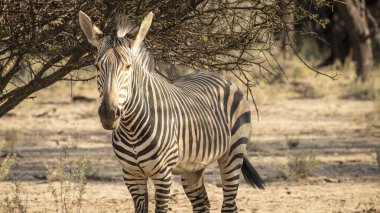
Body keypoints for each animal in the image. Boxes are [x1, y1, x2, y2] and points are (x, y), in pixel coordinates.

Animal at [79, 10, 264, 212]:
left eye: (128, 67)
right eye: (97, 66)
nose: (108, 114)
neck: (131, 129)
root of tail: (218, 76)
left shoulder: (163, 175)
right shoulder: (131, 175)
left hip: (233, 153)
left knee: (229, 204)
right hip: (192, 166)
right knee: (202, 203)